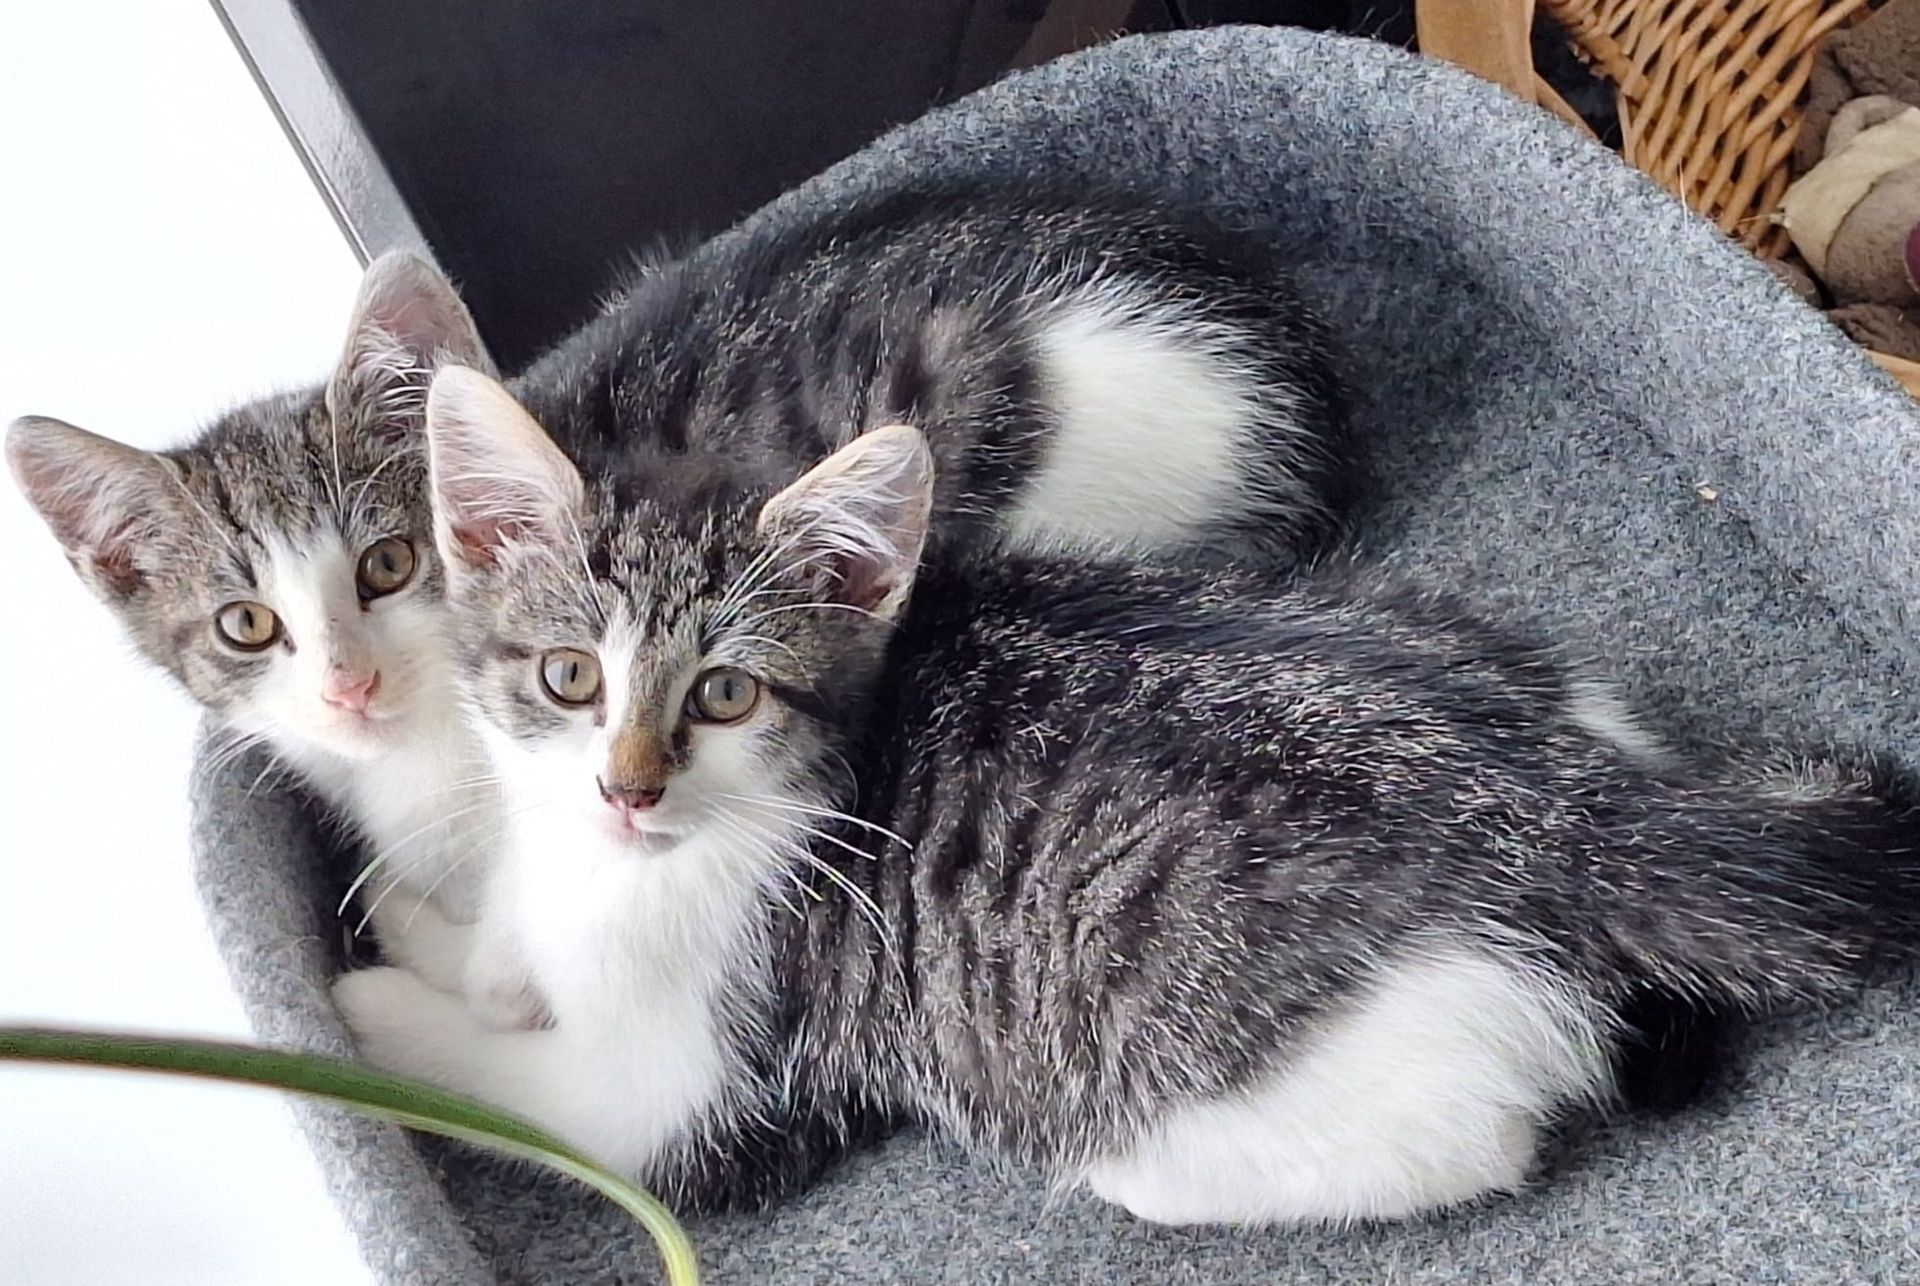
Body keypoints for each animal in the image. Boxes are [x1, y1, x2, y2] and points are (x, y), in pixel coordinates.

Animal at [332, 379, 1920, 1225]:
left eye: (725, 695)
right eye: (566, 675)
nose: (625, 786)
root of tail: (1561, 806)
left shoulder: (709, 1089)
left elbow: (541, 1100)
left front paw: (367, 1006)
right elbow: (507, 937)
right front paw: (453, 936)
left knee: (1455, 1139)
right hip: (1459, 633)